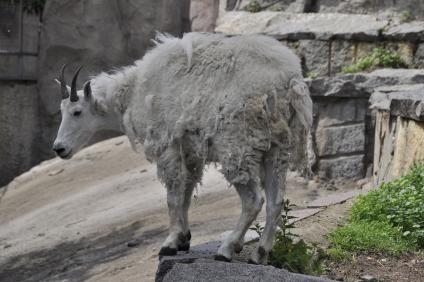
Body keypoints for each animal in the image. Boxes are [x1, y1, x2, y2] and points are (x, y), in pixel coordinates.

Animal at [52, 33, 312, 264]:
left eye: (77, 112)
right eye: (61, 111)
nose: (59, 148)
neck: (134, 92)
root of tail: (290, 82)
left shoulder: (166, 145)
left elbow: (173, 196)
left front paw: (170, 243)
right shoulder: (188, 150)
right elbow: (186, 192)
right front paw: (184, 239)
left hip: (236, 146)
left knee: (253, 200)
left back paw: (226, 249)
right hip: (277, 148)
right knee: (276, 201)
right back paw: (259, 254)